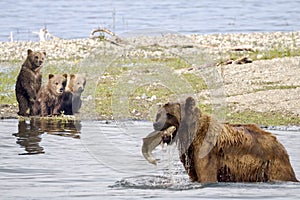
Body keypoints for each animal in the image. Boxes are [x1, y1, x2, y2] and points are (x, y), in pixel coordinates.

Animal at [143, 97, 298, 183]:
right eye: (159, 114)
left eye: (169, 115)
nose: (155, 124)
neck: (191, 135)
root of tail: (280, 144)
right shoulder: (191, 156)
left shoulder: (206, 151)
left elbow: (207, 176)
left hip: (273, 165)